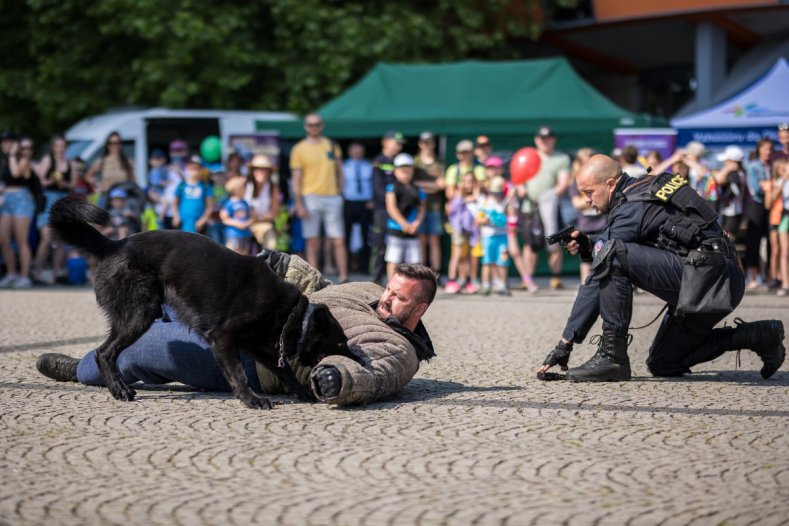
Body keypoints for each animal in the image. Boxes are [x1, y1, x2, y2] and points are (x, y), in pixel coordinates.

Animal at [49, 197, 358, 408]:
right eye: (340, 343)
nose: (360, 359)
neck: (292, 314)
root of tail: (113, 245)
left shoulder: (256, 347)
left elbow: (285, 371)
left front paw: (302, 392)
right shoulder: (223, 338)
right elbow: (238, 374)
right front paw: (251, 400)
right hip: (141, 314)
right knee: (104, 353)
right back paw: (119, 390)